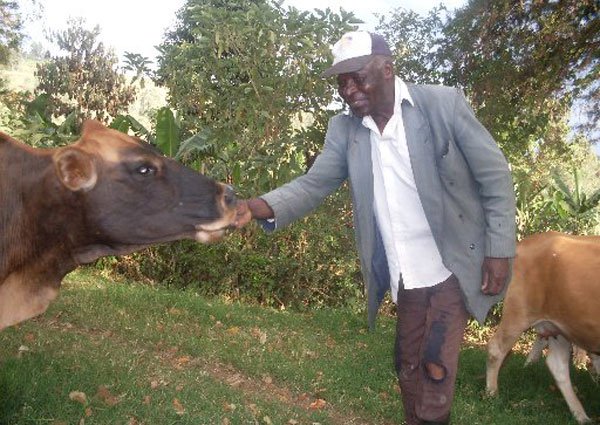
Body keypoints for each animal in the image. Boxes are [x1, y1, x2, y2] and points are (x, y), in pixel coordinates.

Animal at [488, 230, 600, 422]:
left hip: (559, 325)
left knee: (557, 365)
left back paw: (581, 416)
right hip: (519, 311)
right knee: (496, 348)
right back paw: (492, 393)